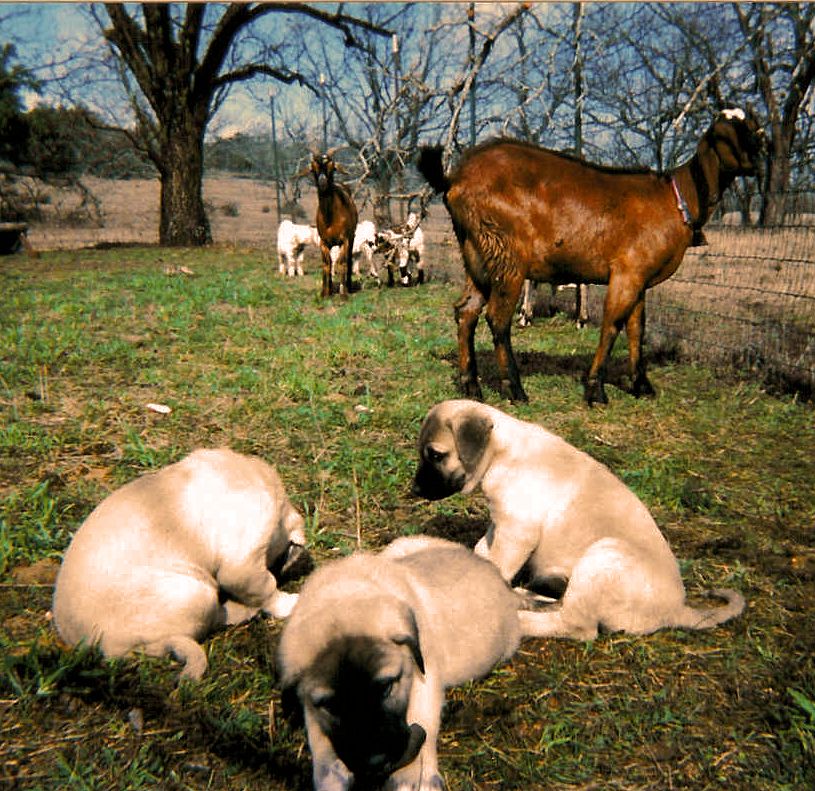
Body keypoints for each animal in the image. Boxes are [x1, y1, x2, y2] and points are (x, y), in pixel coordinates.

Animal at [53, 446, 310, 680]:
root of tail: (106, 648)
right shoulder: (242, 566)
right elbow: (267, 589)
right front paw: (289, 603)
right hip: (196, 593)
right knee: (214, 618)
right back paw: (241, 610)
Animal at [278, 532, 556, 791]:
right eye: (331, 706)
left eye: (386, 688)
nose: (376, 762)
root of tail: (503, 584)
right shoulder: (312, 706)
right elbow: (322, 750)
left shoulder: (425, 680)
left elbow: (423, 726)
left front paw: (415, 778)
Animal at [308, 148, 356, 296]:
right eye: (313, 168)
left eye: (332, 167)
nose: (322, 183)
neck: (330, 218)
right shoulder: (324, 242)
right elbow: (326, 263)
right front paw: (325, 292)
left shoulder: (345, 240)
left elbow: (342, 262)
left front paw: (343, 293)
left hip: (351, 238)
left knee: (349, 259)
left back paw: (348, 287)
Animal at [414, 402, 744, 644]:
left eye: (436, 455)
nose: (414, 490)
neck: (499, 454)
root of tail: (678, 610)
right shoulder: (501, 524)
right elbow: (483, 549)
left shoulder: (516, 531)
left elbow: (495, 565)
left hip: (603, 556)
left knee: (577, 626)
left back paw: (521, 618)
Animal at [420, 108, 764, 406]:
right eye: (729, 133)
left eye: (754, 127)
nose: (757, 161)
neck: (676, 198)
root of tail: (455, 178)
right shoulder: (626, 272)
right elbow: (612, 325)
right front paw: (596, 389)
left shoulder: (640, 276)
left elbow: (637, 328)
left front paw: (642, 385)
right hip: (507, 255)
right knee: (497, 318)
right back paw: (515, 389)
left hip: (477, 255)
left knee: (466, 311)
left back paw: (471, 386)